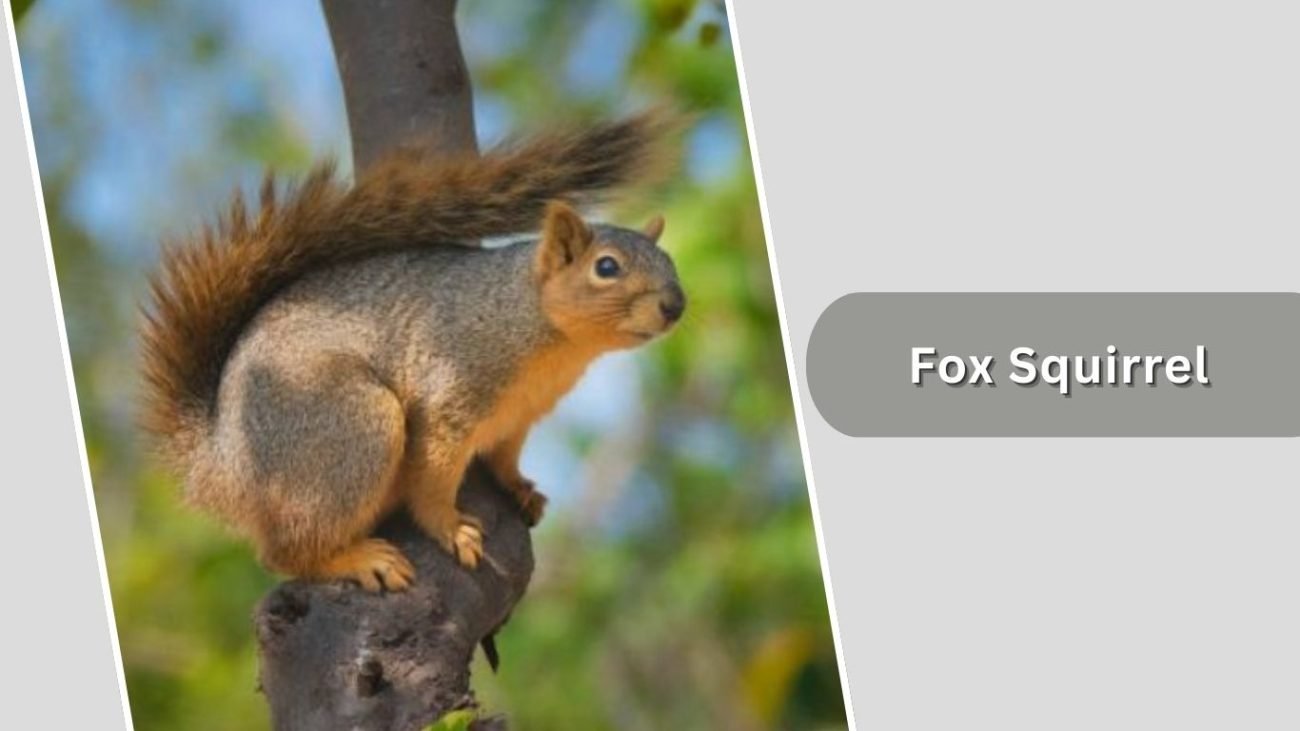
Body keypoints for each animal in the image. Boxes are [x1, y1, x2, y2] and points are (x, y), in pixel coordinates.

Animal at [139, 111, 685, 591]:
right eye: (607, 267)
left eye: (670, 261)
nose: (676, 305)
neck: (539, 328)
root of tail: (220, 467)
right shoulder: (449, 394)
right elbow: (432, 475)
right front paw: (451, 528)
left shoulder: (520, 414)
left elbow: (505, 456)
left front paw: (519, 488)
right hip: (350, 424)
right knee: (284, 554)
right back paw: (358, 560)